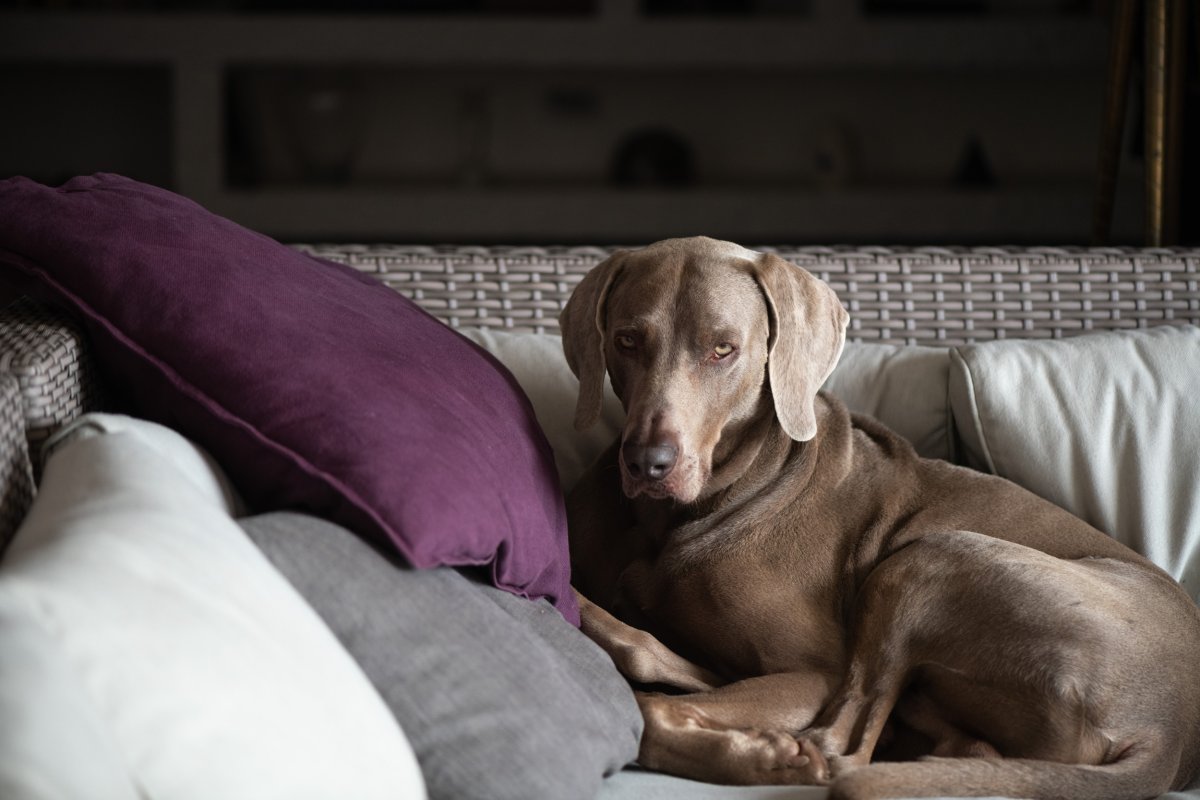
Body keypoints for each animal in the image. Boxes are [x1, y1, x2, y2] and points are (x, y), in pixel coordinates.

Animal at [559, 237, 1200, 800]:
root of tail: (1167, 733)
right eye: (627, 340)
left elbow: (654, 711)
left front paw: (763, 755)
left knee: (844, 749)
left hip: (928, 558)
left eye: (723, 349)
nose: (648, 462)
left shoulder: (814, 672)